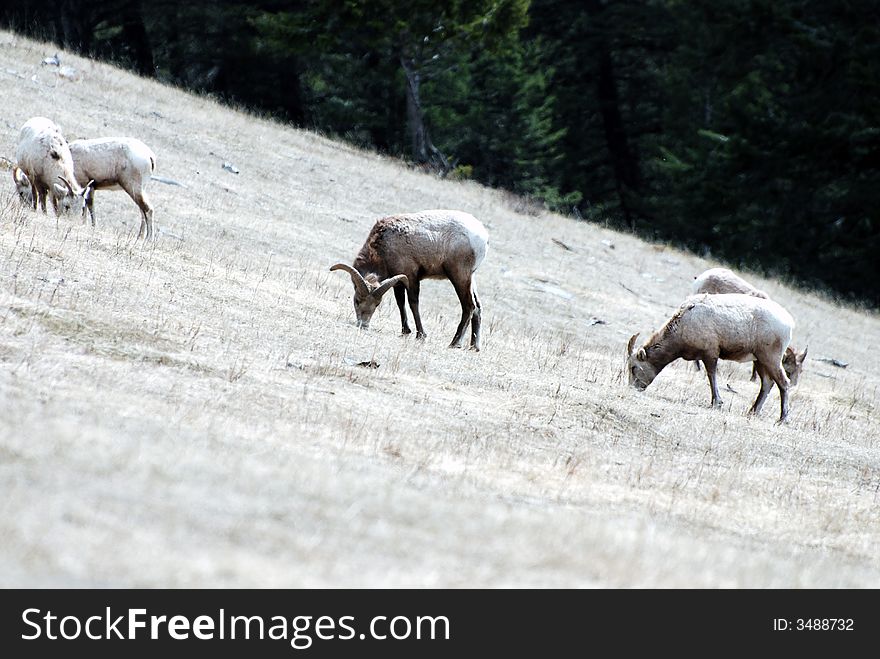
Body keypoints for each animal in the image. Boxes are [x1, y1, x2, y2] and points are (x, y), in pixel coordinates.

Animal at [330, 210, 488, 350]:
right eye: (357, 301)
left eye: (377, 304)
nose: (363, 324)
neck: (384, 245)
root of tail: (483, 237)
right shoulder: (398, 282)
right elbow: (400, 302)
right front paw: (405, 331)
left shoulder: (411, 277)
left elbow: (413, 303)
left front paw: (421, 335)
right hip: (470, 279)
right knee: (477, 307)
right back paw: (474, 346)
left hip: (459, 277)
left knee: (469, 306)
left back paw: (455, 343)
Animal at [624, 294, 796, 422]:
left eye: (633, 367)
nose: (633, 387)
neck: (682, 326)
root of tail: (789, 323)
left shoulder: (711, 352)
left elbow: (711, 374)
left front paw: (717, 402)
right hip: (759, 359)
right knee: (767, 382)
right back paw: (753, 411)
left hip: (770, 356)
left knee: (784, 382)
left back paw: (783, 419)